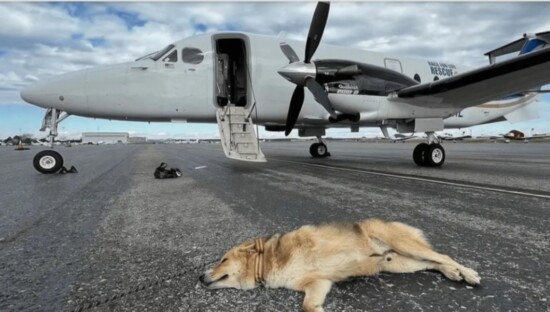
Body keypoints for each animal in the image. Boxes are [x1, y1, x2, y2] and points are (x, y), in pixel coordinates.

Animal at [201, 219, 480, 312]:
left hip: (403, 244)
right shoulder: (318, 283)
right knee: (431, 263)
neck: (268, 261)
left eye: (223, 260)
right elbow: (309, 306)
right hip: (397, 263)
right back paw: (452, 273)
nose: (200, 277)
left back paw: (468, 273)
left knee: (443, 255)